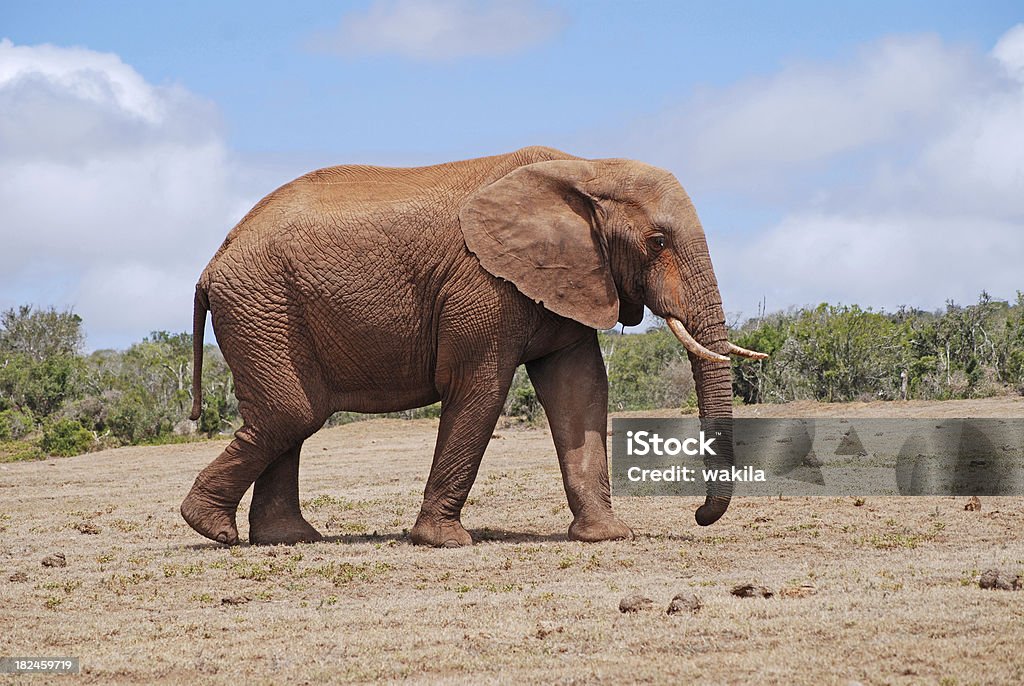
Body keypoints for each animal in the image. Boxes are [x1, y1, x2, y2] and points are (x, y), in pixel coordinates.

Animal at [180, 146, 765, 548]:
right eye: (657, 242)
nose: (698, 516)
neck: (584, 167)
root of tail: (211, 264)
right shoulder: (482, 284)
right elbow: (479, 387)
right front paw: (444, 542)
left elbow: (579, 390)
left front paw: (607, 536)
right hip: (261, 306)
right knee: (292, 413)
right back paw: (212, 530)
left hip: (265, 309)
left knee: (291, 420)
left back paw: (287, 539)